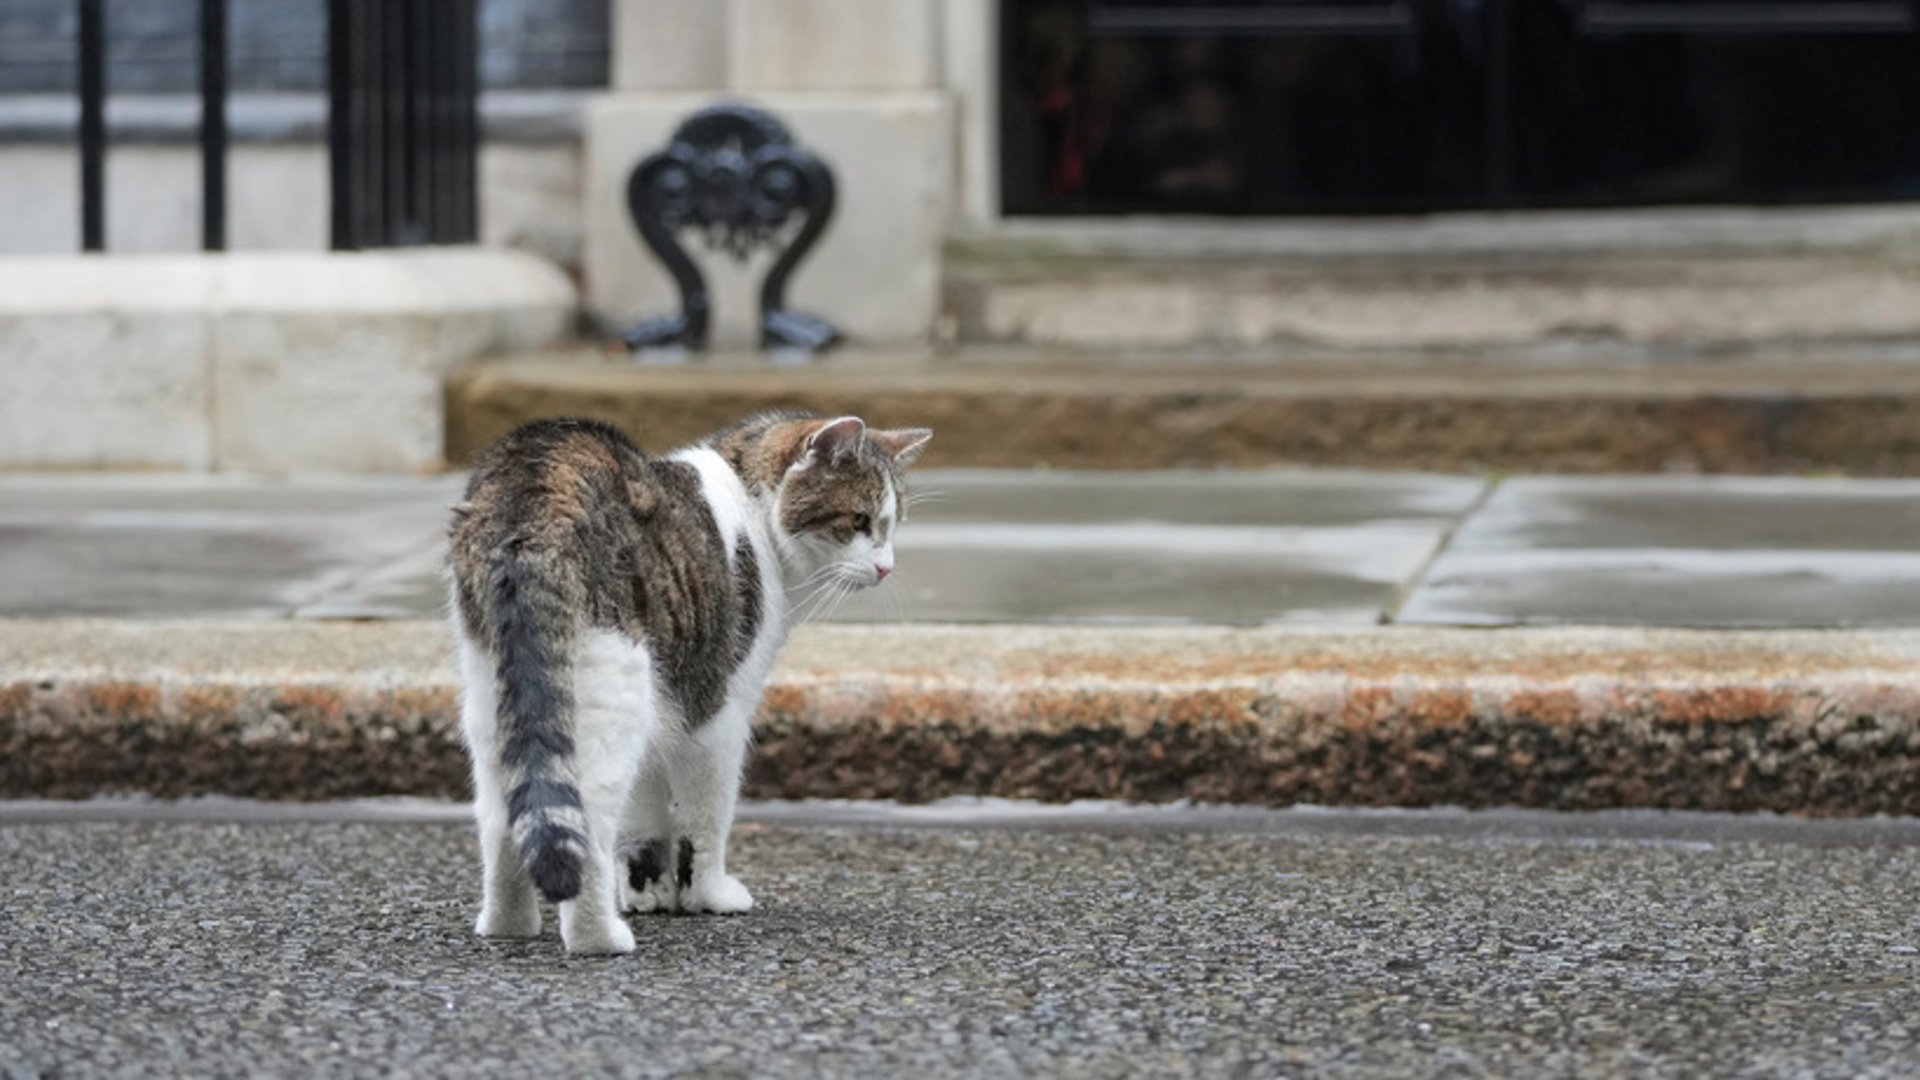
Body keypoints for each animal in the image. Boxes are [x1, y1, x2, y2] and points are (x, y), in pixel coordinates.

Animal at [449, 411, 929, 949]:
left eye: (892, 525)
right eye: (859, 521)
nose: (886, 567)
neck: (751, 503)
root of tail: (535, 483)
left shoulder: (664, 704)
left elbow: (644, 819)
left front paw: (650, 892)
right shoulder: (717, 715)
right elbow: (703, 821)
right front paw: (708, 896)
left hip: (499, 696)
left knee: (503, 813)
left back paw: (507, 924)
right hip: (612, 693)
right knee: (585, 817)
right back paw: (599, 938)